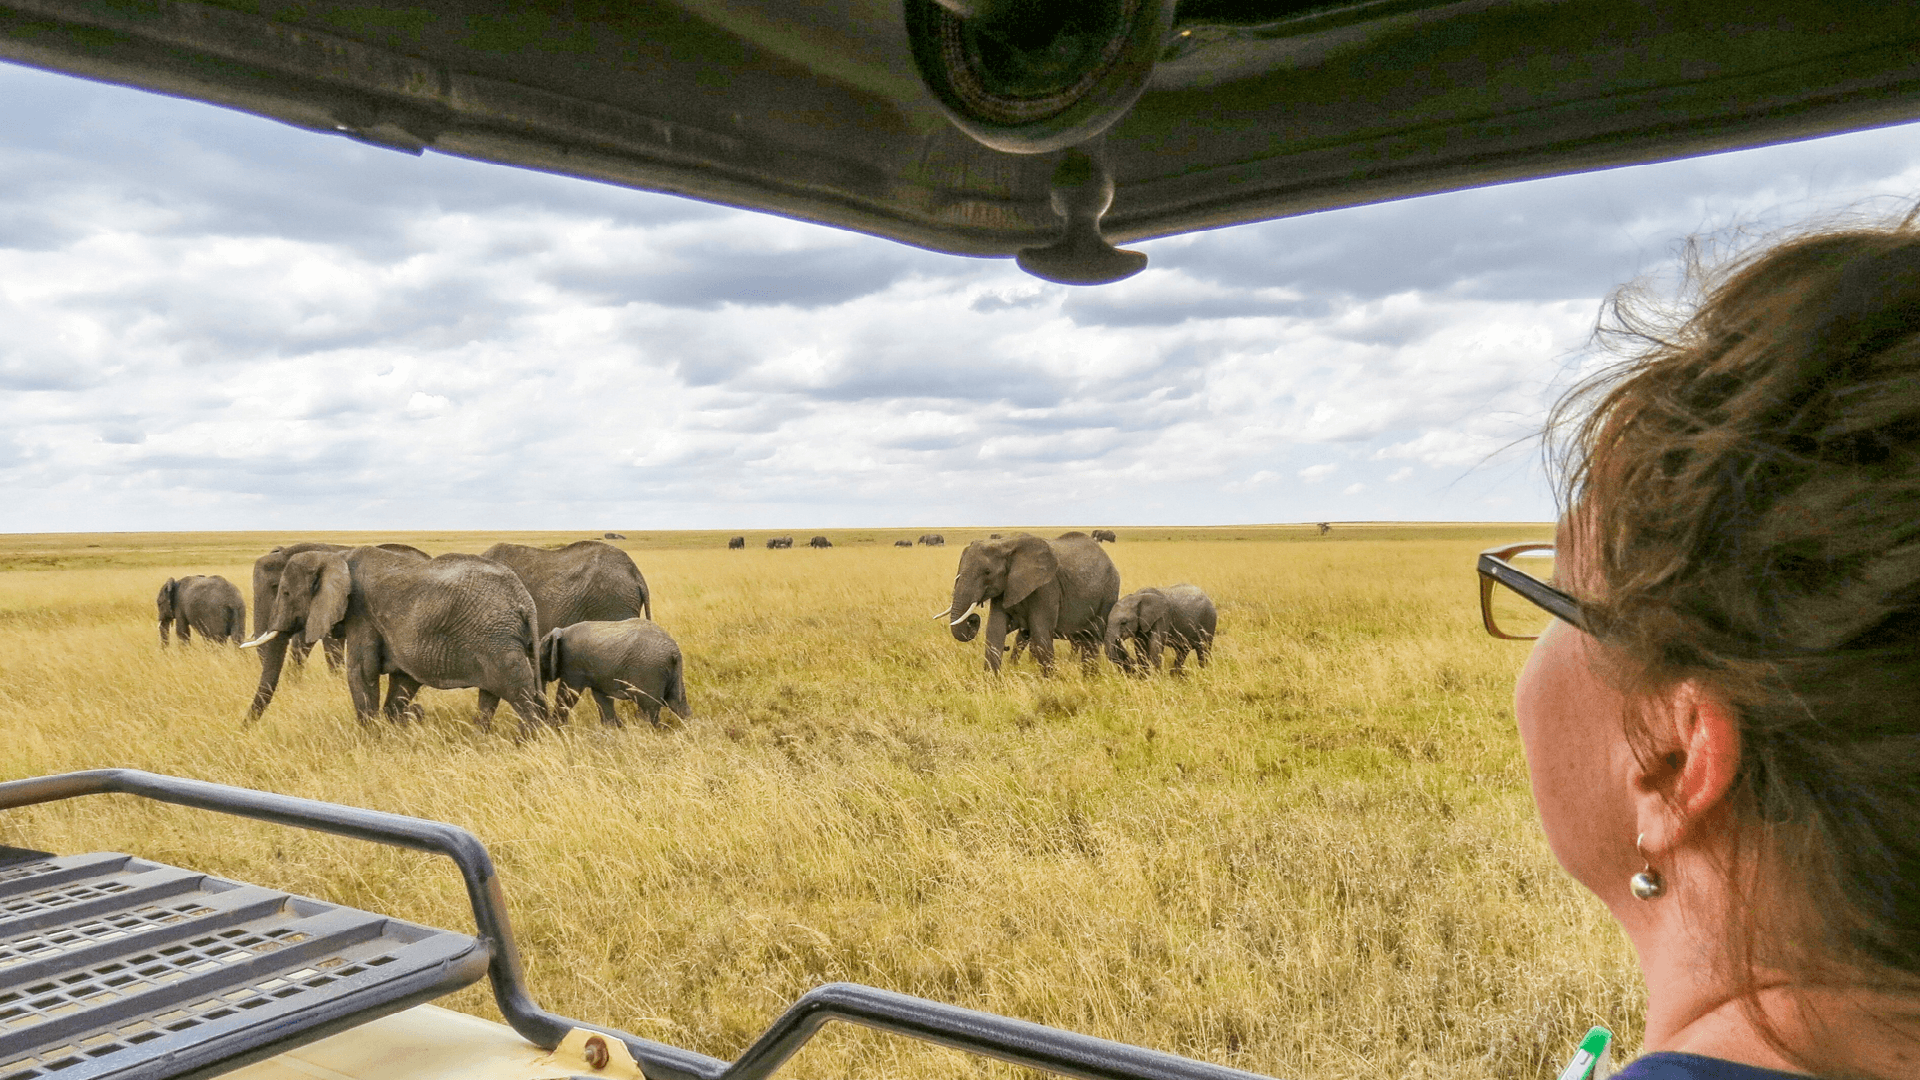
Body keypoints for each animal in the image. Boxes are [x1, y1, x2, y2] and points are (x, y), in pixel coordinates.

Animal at [539, 618, 690, 727]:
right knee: (677, 703)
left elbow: (568, 694)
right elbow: (601, 698)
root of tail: (674, 652)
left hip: (650, 671)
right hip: (671, 671)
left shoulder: (573, 664)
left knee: (648, 707)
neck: (562, 631)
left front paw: (554, 727)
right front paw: (613, 728)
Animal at [945, 532, 1120, 675]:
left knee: (1093, 638)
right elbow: (995, 632)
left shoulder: (1047, 587)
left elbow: (1041, 634)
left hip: (1108, 593)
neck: (1005, 544)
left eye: (987, 572)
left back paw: (1092, 677)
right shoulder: (1005, 587)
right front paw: (992, 685)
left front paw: (1050, 683)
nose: (973, 619)